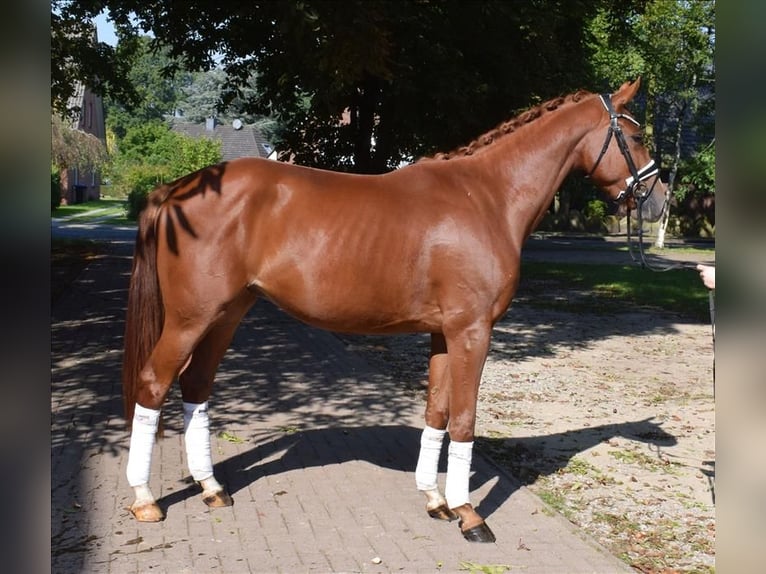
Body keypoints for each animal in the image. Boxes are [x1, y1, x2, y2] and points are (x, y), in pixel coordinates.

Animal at [121, 79, 664, 544]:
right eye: (636, 136)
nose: (658, 201)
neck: (487, 197)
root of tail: (177, 188)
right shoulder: (472, 332)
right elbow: (464, 420)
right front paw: (469, 515)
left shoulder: (444, 334)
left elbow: (437, 412)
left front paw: (435, 500)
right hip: (191, 319)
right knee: (153, 384)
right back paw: (146, 499)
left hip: (227, 315)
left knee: (196, 387)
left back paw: (212, 489)